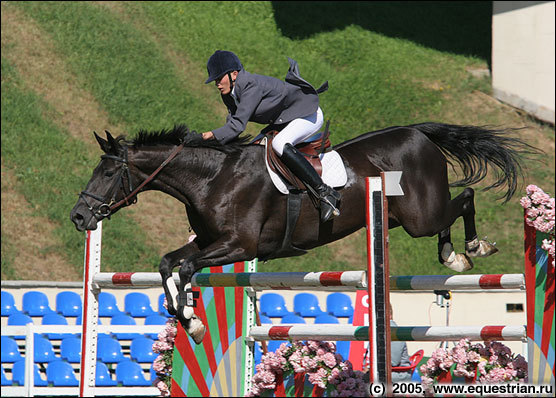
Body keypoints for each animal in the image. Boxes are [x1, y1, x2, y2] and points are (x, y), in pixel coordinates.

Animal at [68, 121, 536, 342]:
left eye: (107, 172)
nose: (79, 217)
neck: (211, 177)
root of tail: (418, 134)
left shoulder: (238, 246)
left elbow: (183, 270)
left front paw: (190, 318)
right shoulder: (207, 242)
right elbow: (168, 264)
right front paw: (190, 320)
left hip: (421, 216)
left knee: (465, 198)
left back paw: (465, 250)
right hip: (401, 218)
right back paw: (454, 253)